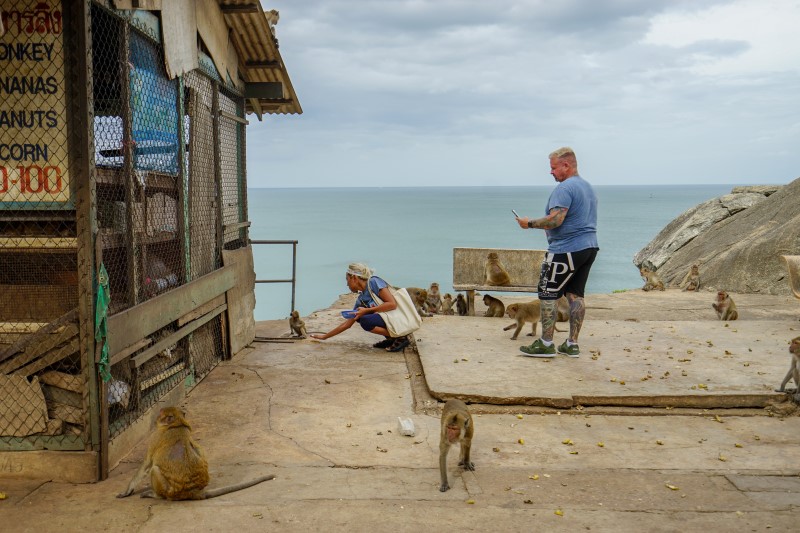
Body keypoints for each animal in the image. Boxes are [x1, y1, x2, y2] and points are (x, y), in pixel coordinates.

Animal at [114, 408, 274, 498]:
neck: (176, 424)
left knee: (155, 470)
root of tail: (192, 491)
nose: (156, 418)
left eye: (160, 414)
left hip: (169, 491)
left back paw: (155, 495)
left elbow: (147, 465)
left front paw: (127, 491)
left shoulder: (155, 437)